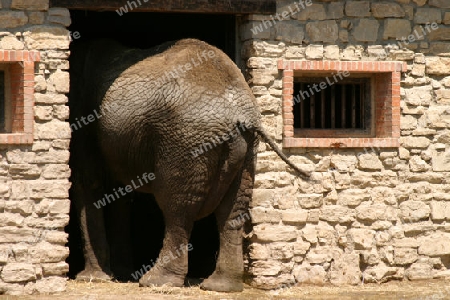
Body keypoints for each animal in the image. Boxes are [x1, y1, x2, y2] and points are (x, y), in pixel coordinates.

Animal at [69, 38, 310, 292]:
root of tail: (238, 116)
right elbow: (116, 192)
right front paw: (120, 273)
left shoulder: (84, 119)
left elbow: (89, 182)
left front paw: (93, 277)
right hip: (241, 147)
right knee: (232, 208)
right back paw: (220, 286)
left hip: (185, 141)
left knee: (177, 208)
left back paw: (155, 282)